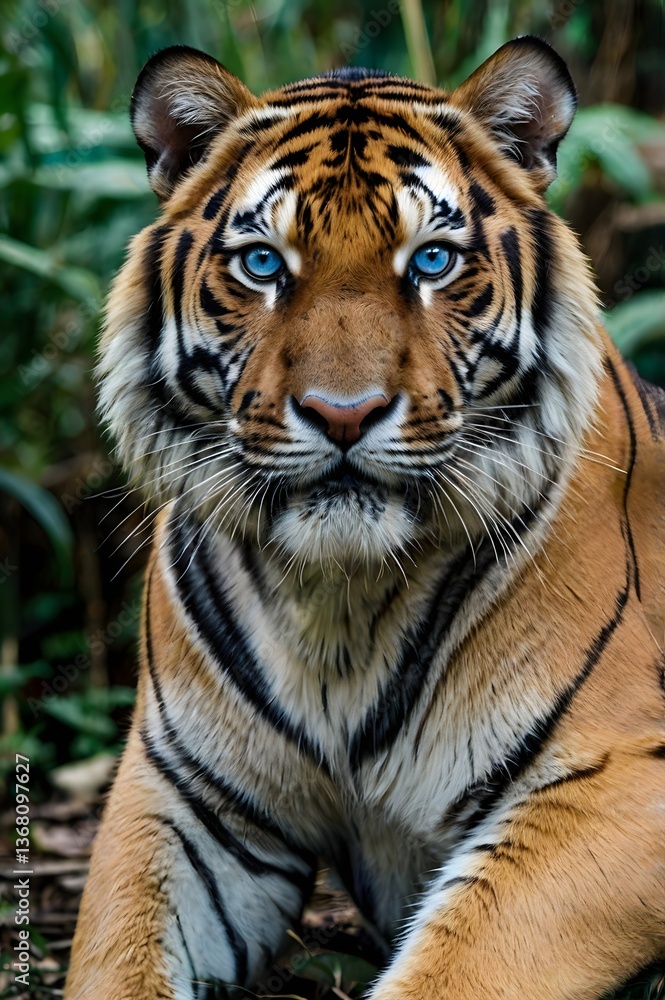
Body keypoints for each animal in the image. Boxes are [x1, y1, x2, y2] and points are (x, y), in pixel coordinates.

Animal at [65, 34, 665, 1000]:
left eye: (431, 261)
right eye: (263, 264)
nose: (342, 414)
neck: (335, 603)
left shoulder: (618, 776)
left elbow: (457, 969)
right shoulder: (182, 799)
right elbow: (117, 966)